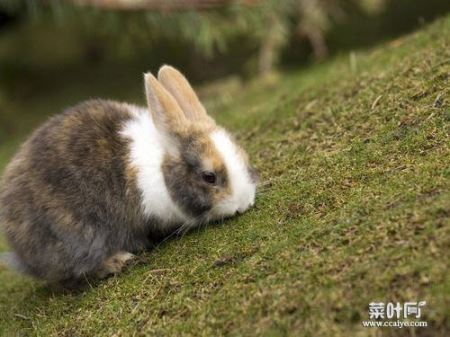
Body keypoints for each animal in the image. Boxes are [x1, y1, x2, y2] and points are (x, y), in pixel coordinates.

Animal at [0, 64, 256, 284]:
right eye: (209, 176)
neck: (162, 169)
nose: (243, 204)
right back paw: (118, 261)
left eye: (243, 156)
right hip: (77, 237)